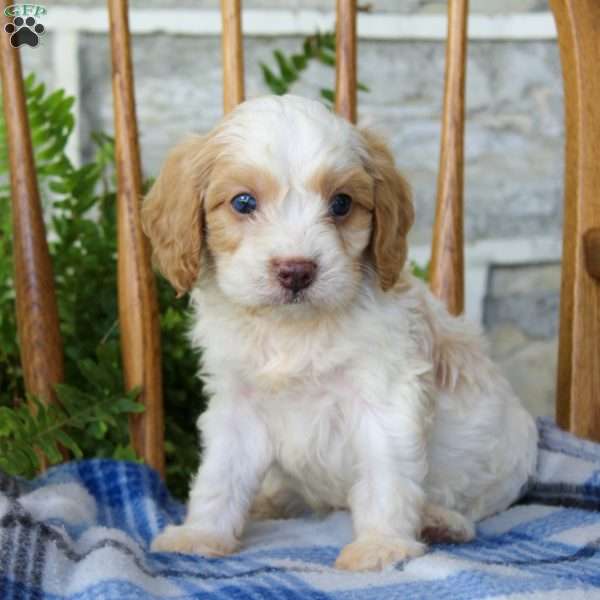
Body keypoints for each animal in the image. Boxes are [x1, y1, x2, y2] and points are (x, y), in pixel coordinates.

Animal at [143, 95, 536, 572]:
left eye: (341, 204)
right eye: (243, 202)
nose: (296, 270)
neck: (294, 330)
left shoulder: (385, 398)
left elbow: (386, 474)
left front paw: (381, 547)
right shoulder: (237, 403)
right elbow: (220, 475)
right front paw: (201, 535)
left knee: (473, 505)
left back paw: (440, 521)